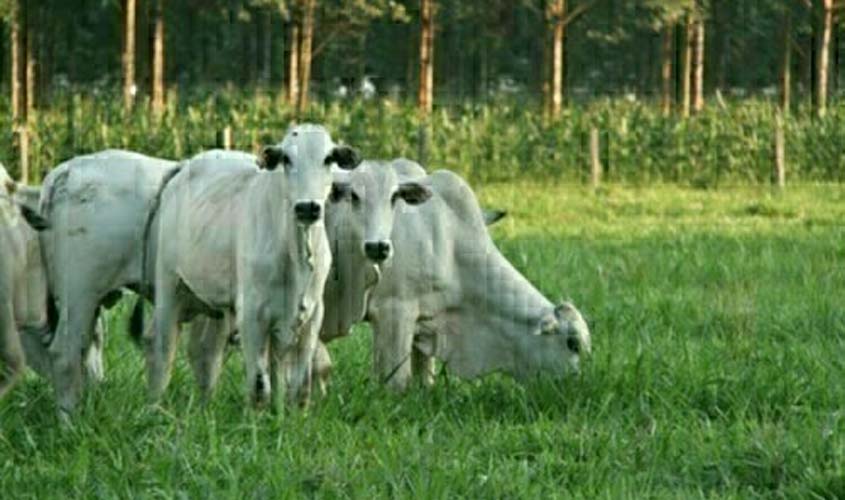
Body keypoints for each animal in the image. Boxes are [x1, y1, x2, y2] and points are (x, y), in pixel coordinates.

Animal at [149, 123, 360, 408]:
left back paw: (206, 405)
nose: (307, 208)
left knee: (206, 352)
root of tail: (185, 165)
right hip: (169, 285)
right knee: (163, 350)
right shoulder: (252, 314)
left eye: (328, 159)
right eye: (286, 159)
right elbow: (260, 387)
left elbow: (299, 387)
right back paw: (154, 404)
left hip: (219, 308)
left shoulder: (311, 316)